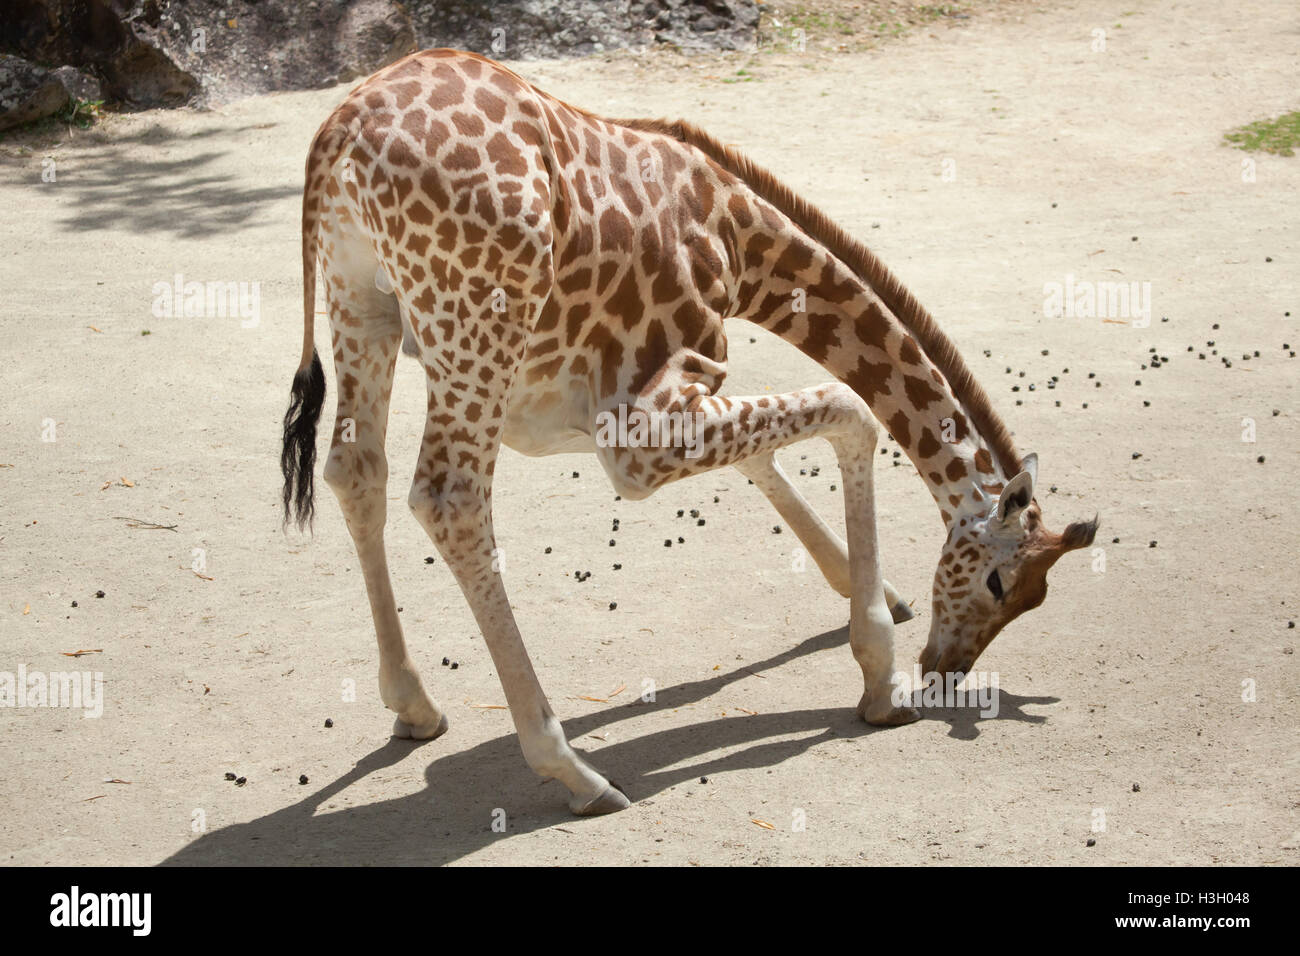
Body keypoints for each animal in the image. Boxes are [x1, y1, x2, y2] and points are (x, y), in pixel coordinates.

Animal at [280, 50, 1099, 815]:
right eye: (997, 583)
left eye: (1033, 600)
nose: (945, 669)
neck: (742, 239)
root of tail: (339, 130)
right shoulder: (639, 430)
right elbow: (852, 410)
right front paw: (879, 679)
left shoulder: (606, 406)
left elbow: (764, 458)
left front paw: (880, 599)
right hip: (477, 325)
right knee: (449, 501)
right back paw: (574, 772)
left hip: (365, 304)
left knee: (356, 470)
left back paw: (414, 705)